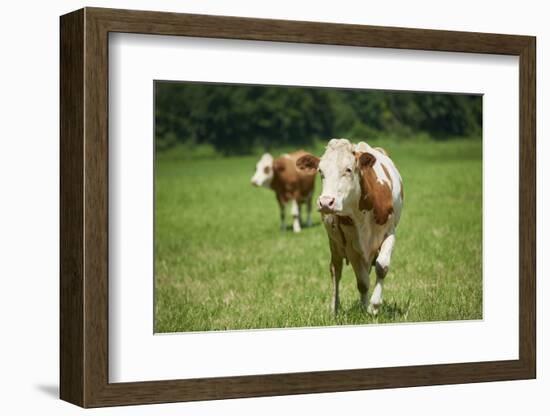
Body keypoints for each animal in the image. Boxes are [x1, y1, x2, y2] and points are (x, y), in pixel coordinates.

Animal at [298, 138, 406, 314]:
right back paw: (335, 308)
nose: (325, 202)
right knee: (336, 270)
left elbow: (381, 267)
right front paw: (365, 308)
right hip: (334, 243)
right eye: (320, 171)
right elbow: (362, 282)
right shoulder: (350, 246)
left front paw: (374, 305)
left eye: (348, 170)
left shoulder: (389, 233)